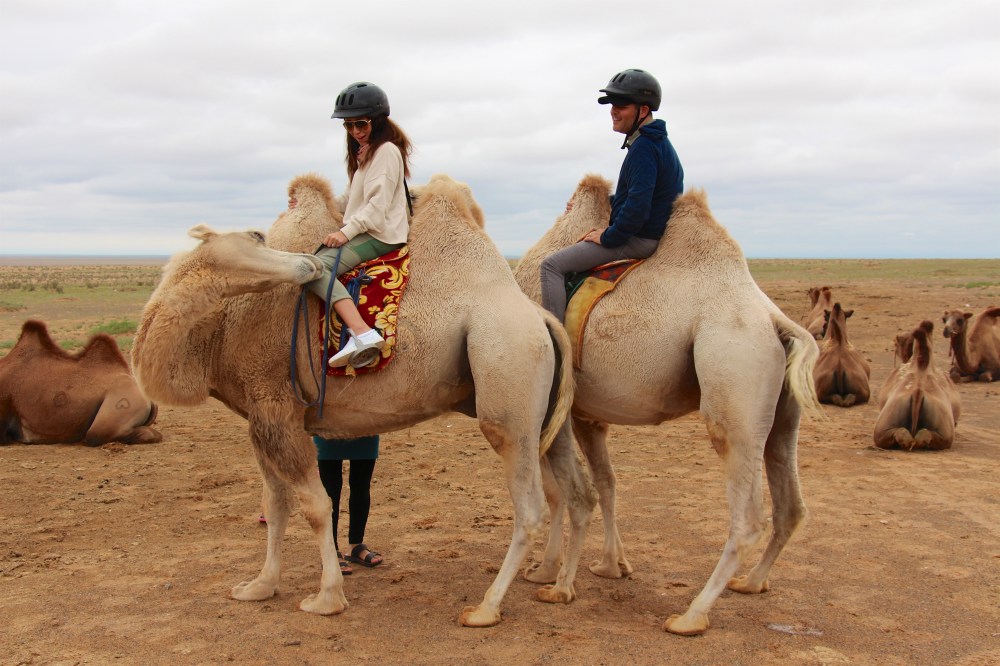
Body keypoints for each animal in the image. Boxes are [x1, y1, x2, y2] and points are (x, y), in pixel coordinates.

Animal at [131, 176, 595, 627]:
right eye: (257, 236)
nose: (309, 264)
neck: (221, 330)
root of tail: (540, 317)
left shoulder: (277, 408)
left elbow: (316, 506)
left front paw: (327, 597)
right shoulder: (260, 418)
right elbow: (275, 506)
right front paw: (259, 586)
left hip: (507, 376)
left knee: (529, 504)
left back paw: (485, 608)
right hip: (546, 411)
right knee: (576, 491)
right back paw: (559, 586)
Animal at [513, 174, 821, 636]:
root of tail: (775, 321)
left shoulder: (553, 409)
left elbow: (557, 491)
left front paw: (548, 574)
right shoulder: (588, 416)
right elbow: (606, 482)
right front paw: (612, 565)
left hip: (733, 373)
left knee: (747, 515)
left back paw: (691, 615)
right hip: (782, 412)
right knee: (791, 503)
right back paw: (752, 583)